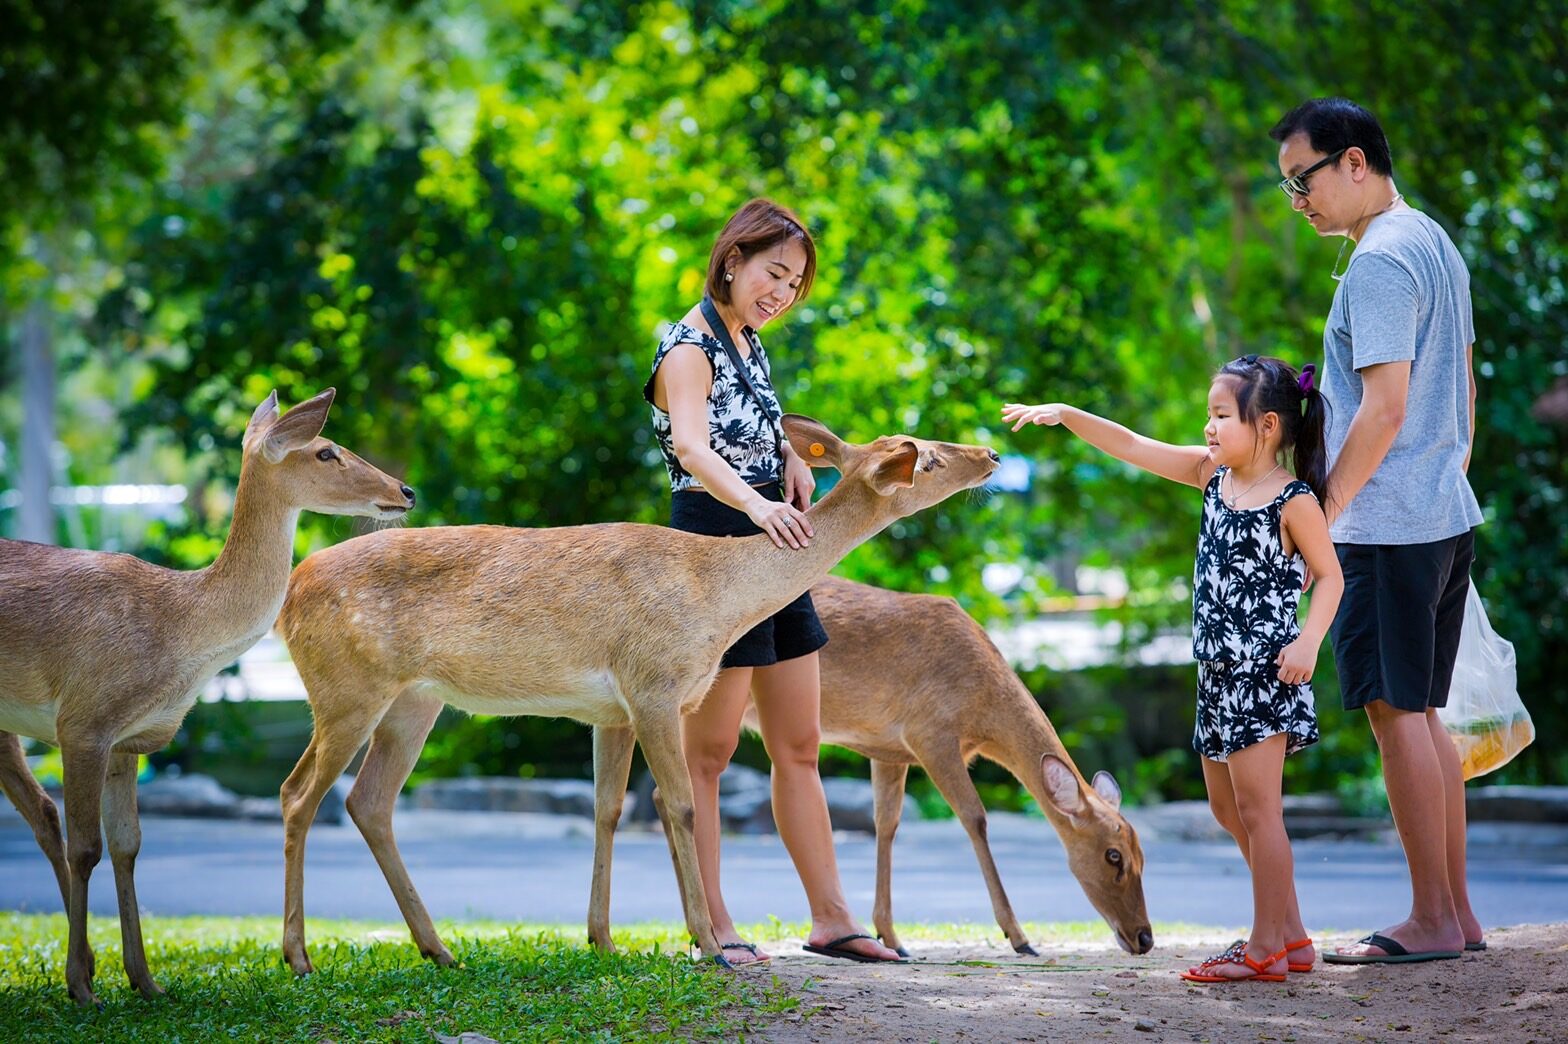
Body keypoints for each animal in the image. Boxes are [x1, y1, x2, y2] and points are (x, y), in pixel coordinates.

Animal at [0, 388, 417, 1003]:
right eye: (325, 451)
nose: (405, 491)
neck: (177, 630)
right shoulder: (82, 719)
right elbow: (87, 848)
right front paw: (81, 987)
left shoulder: (127, 739)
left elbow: (126, 846)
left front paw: (144, 981)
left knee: (42, 814)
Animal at [275, 413, 997, 965]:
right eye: (929, 458)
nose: (990, 453)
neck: (716, 595)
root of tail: (288, 595)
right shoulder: (652, 684)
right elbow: (680, 805)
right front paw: (711, 947)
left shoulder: (615, 709)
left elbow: (609, 809)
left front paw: (604, 940)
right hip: (347, 686)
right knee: (299, 793)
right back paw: (299, 957)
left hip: (415, 700)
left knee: (368, 801)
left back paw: (439, 950)